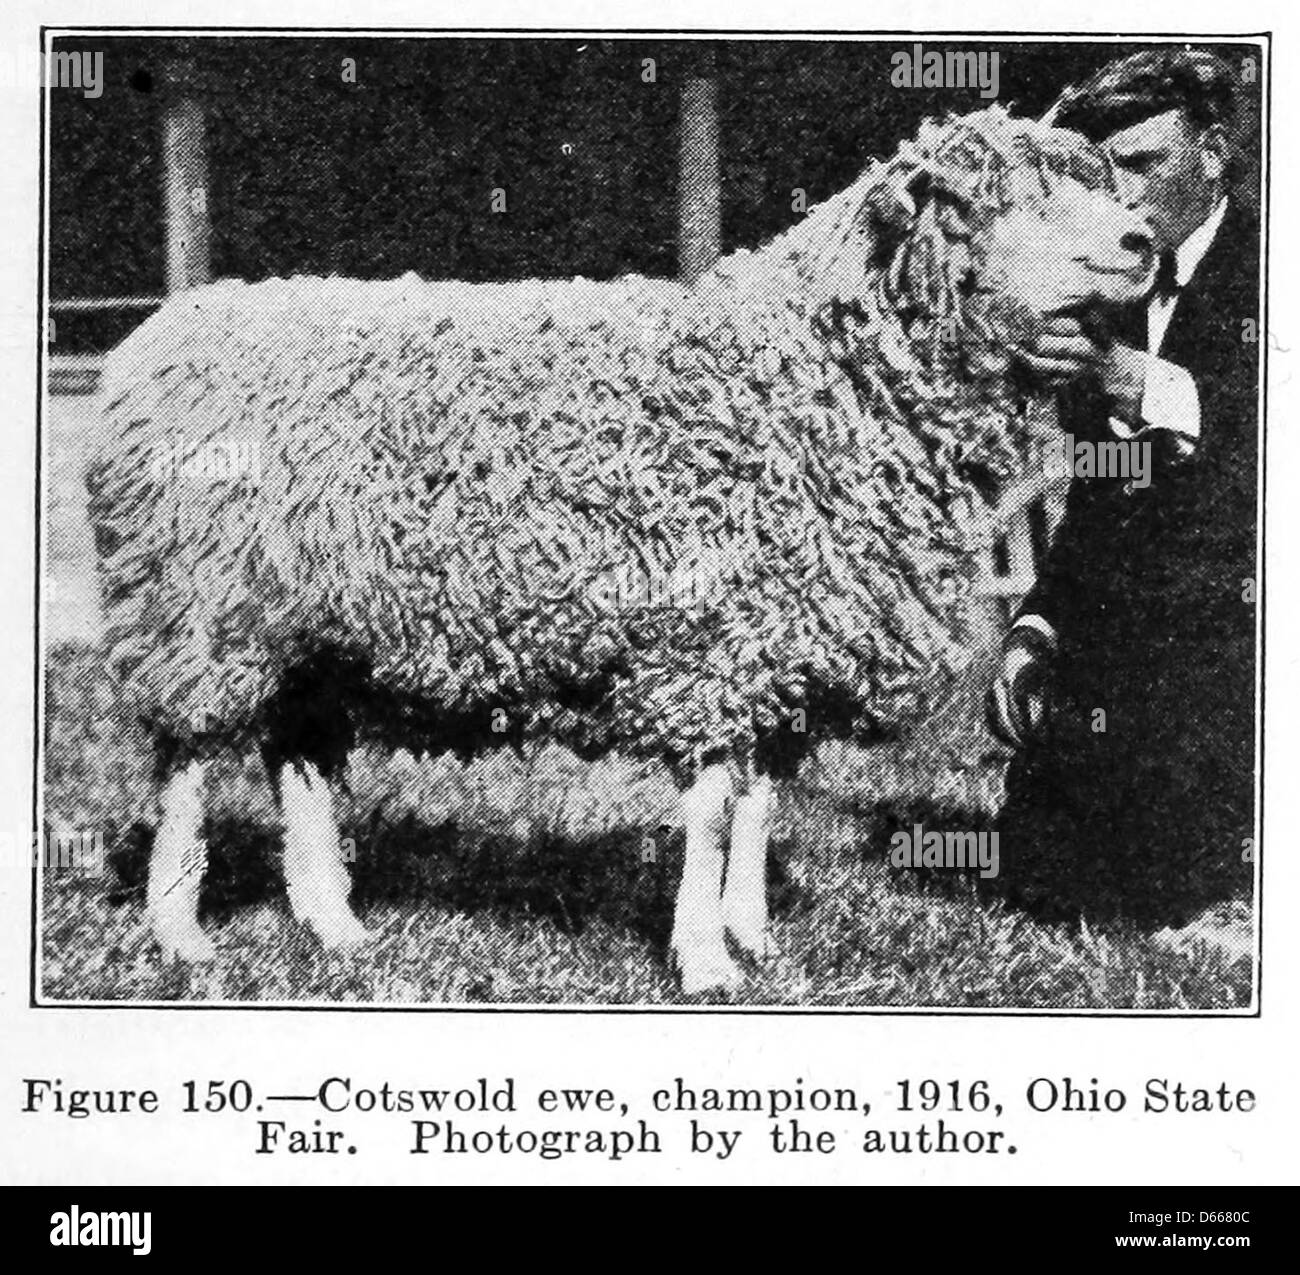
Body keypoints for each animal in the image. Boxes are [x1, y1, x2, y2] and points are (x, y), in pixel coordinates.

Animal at [87, 106, 1155, 995]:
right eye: (999, 200)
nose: (1143, 242)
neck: (811, 372)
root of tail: (159, 335)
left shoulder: (784, 640)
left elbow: (760, 804)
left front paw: (753, 937)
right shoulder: (712, 644)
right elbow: (717, 811)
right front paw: (703, 958)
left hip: (307, 623)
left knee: (300, 762)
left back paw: (333, 924)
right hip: (197, 602)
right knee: (186, 759)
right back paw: (181, 933)